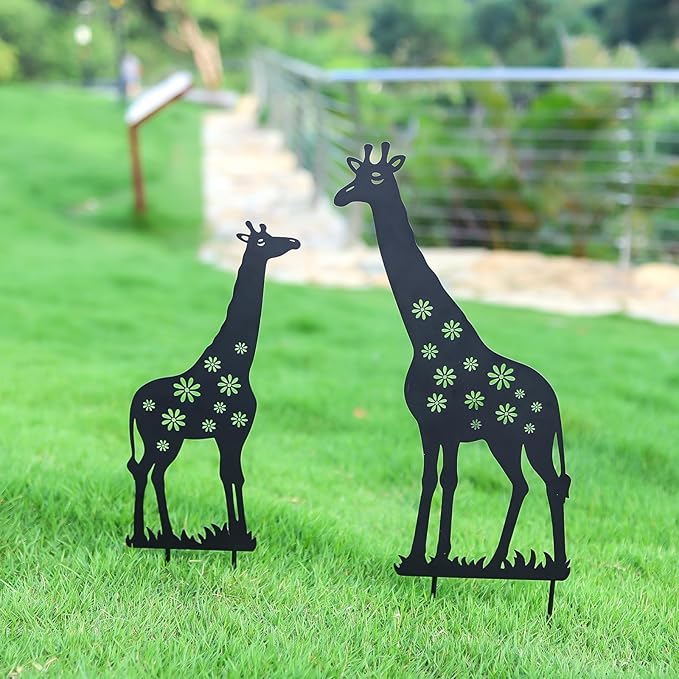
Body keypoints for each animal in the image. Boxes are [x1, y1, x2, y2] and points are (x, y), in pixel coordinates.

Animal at [127, 221, 300, 547]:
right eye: (262, 240)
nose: (294, 242)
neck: (238, 366)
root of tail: (133, 404)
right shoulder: (236, 430)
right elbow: (234, 475)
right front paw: (240, 536)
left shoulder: (225, 435)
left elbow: (229, 475)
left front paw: (237, 534)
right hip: (163, 438)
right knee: (147, 471)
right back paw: (152, 535)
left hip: (166, 440)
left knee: (149, 472)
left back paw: (156, 534)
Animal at [334, 143, 570, 573]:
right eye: (355, 175)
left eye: (374, 177)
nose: (341, 196)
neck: (427, 338)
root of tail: (555, 404)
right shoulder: (447, 431)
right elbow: (447, 479)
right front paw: (436, 555)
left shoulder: (432, 424)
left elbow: (434, 480)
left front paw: (419, 557)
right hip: (508, 442)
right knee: (527, 484)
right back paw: (499, 561)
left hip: (530, 439)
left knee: (549, 483)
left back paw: (544, 563)